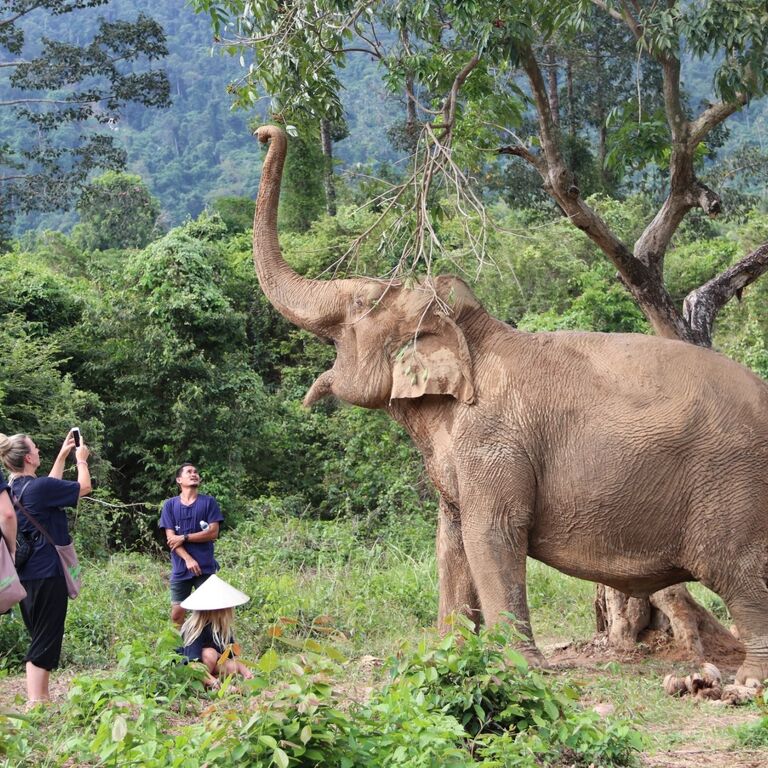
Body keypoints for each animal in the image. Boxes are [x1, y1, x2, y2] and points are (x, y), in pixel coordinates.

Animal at [252, 125, 768, 684]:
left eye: (359, 307)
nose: (265, 130)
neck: (474, 334)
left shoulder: (493, 442)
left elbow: (493, 535)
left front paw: (518, 667)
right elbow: (451, 541)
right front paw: (449, 654)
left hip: (733, 490)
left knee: (742, 574)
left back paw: (748, 682)